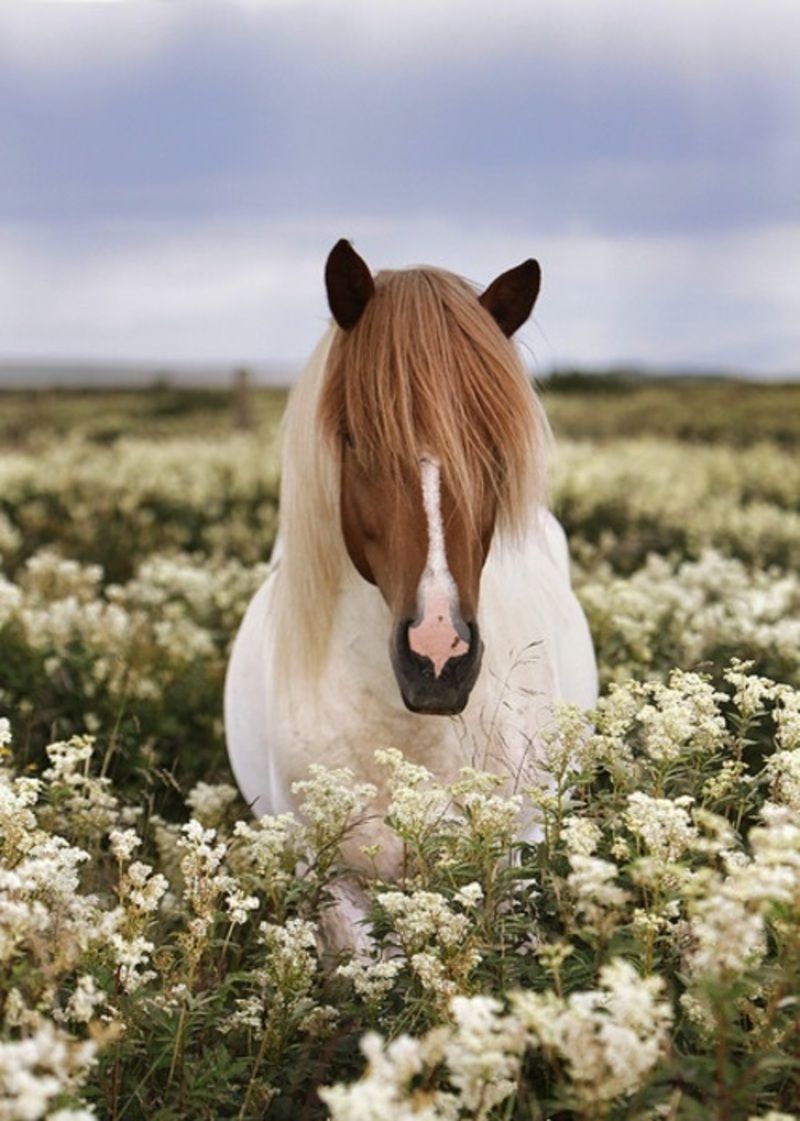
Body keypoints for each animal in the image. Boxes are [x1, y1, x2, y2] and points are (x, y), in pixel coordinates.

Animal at [220, 245, 596, 946]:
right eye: (354, 439)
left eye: (492, 448)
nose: (438, 656)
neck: (407, 735)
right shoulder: (334, 884)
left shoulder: (511, 866)